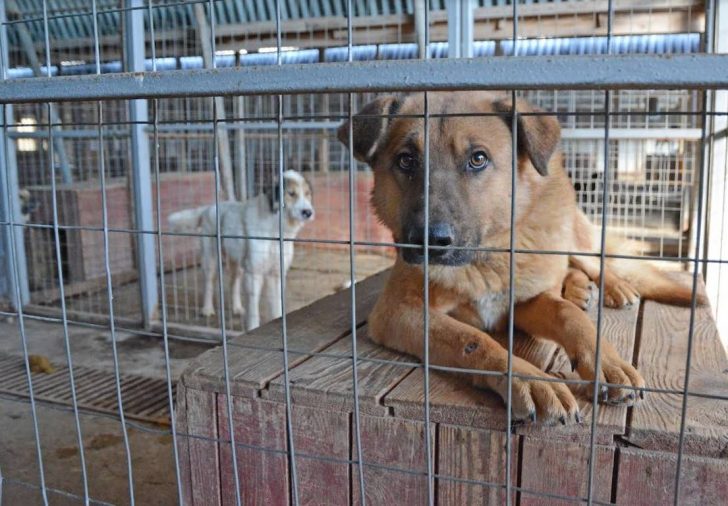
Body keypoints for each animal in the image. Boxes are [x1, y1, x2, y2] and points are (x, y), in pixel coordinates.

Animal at [168, 170, 314, 331]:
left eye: (307, 194)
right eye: (291, 193)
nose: (308, 212)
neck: (274, 228)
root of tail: (209, 208)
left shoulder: (276, 274)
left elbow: (277, 306)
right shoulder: (254, 274)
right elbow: (253, 310)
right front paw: (252, 329)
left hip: (237, 264)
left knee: (233, 283)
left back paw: (236, 308)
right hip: (210, 260)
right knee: (209, 283)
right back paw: (207, 309)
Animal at [338, 92, 705, 425]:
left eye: (478, 159)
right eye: (406, 160)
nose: (429, 241)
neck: (485, 261)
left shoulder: (524, 301)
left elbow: (568, 315)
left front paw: (606, 362)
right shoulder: (398, 310)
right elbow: (472, 339)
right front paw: (531, 379)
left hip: (572, 237)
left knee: (591, 264)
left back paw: (612, 288)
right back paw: (578, 289)